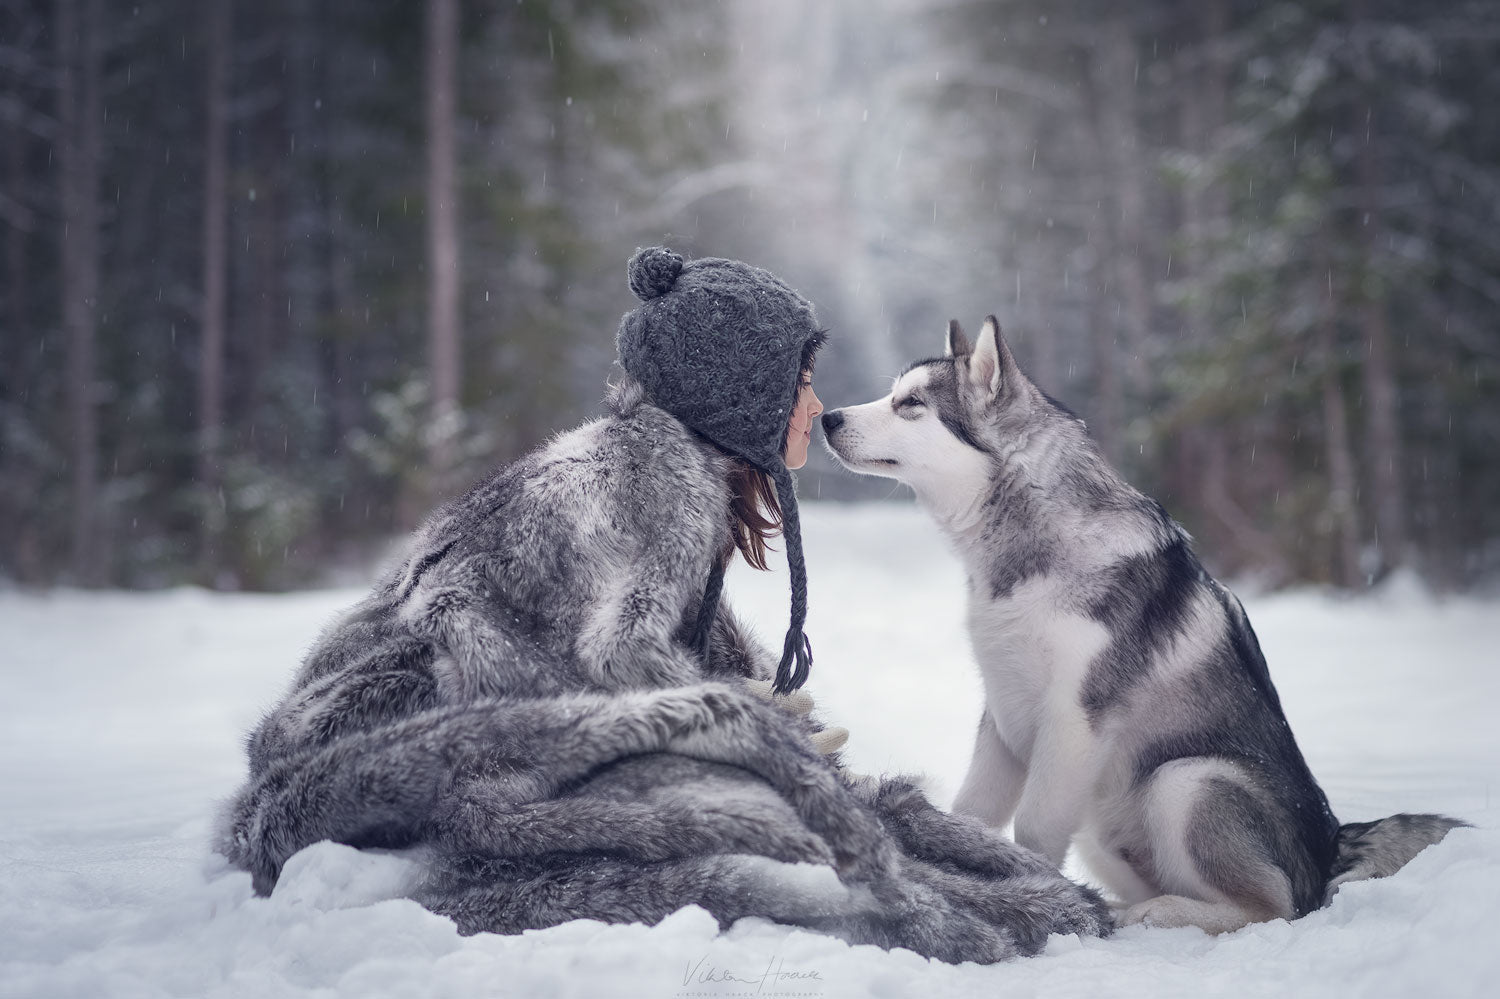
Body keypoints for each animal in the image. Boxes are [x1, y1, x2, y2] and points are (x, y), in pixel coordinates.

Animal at [822, 315, 1464, 930]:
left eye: (910, 404)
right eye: (893, 394)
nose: (827, 416)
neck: (1024, 549)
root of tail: (1329, 845)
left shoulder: (1073, 721)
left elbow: (1032, 828)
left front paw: (1048, 901)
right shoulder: (1003, 717)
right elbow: (970, 815)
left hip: (1185, 780)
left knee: (1269, 908)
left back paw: (1151, 915)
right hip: (1104, 819)